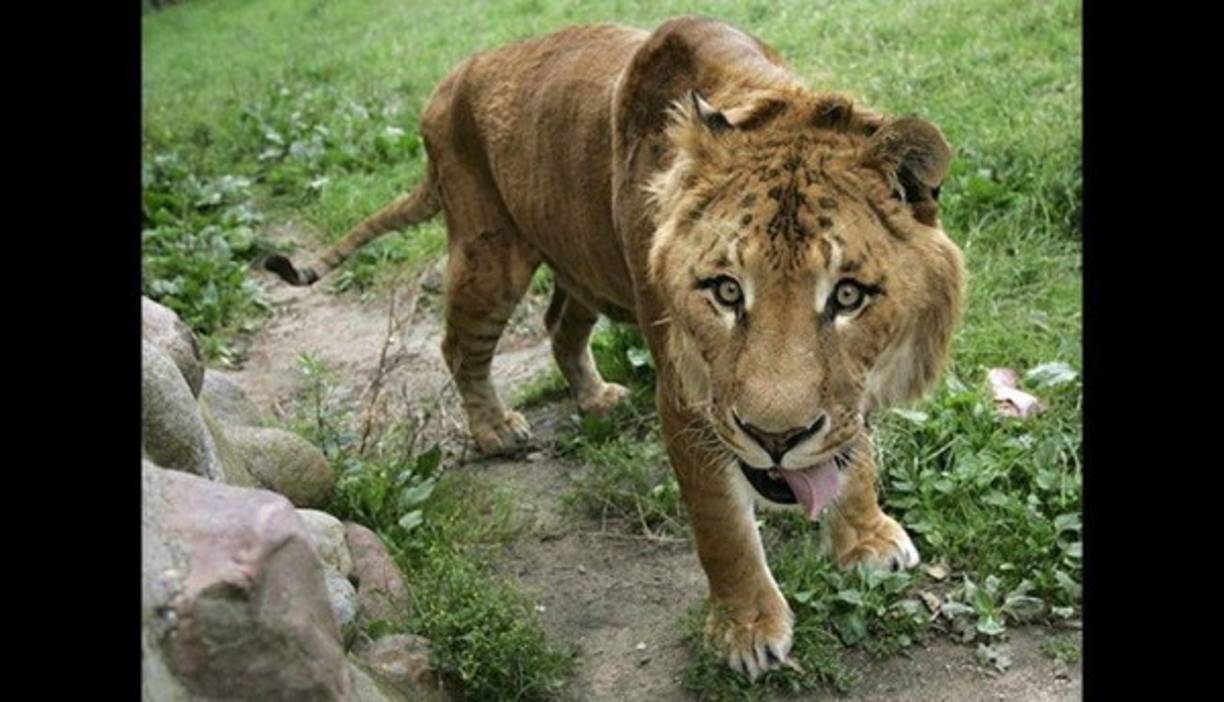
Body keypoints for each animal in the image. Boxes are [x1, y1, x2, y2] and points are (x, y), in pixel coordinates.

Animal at [266, 16, 964, 680]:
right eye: (726, 291)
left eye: (847, 296)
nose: (775, 439)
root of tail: (447, 83)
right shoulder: (687, 396)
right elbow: (723, 526)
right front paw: (746, 633)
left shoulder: (845, 391)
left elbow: (853, 453)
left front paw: (866, 541)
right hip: (489, 257)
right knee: (458, 346)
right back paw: (495, 430)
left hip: (580, 264)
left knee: (558, 325)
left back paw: (595, 396)